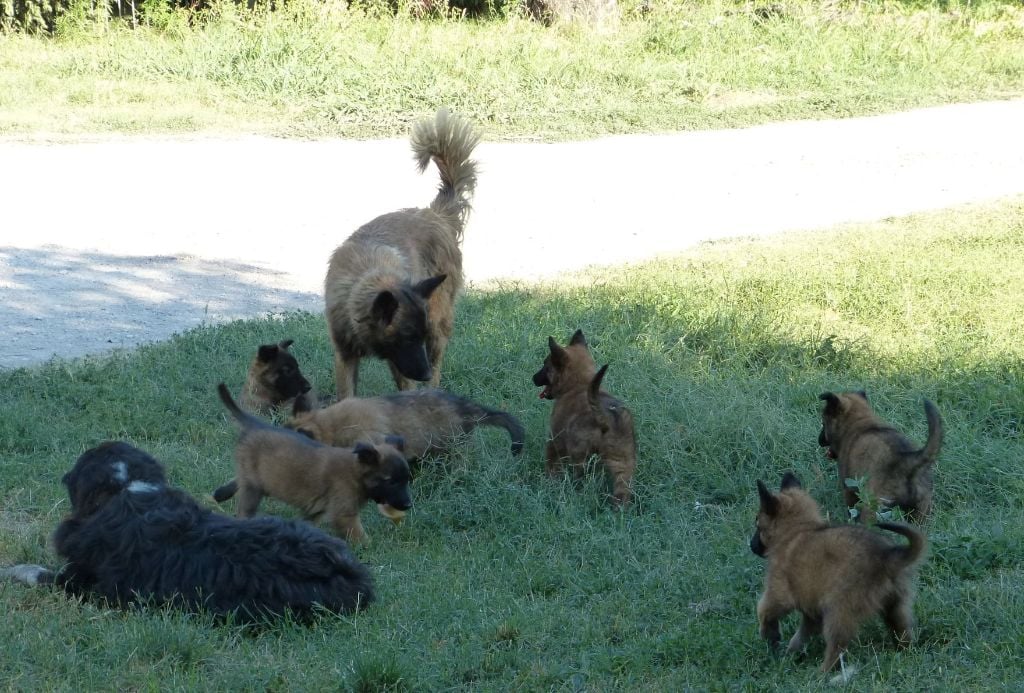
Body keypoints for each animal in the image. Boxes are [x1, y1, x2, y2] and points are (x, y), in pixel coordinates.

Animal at [215, 380, 411, 544]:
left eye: (406, 480)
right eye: (391, 482)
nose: (408, 505)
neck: (355, 472)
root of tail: (256, 425)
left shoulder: (315, 512)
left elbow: (303, 522)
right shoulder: (345, 515)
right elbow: (360, 538)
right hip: (253, 487)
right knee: (244, 509)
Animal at [323, 107, 479, 399]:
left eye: (417, 337)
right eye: (407, 338)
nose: (424, 373)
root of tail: (434, 214)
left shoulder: (405, 361)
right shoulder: (345, 355)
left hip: (438, 326)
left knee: (437, 369)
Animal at [532, 327, 634, 505]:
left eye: (546, 366)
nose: (533, 378)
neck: (580, 384)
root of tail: (604, 418)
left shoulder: (554, 439)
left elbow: (551, 462)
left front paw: (549, 481)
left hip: (579, 455)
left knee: (579, 477)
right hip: (624, 465)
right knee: (622, 492)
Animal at [753, 470, 929, 671]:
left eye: (757, 524)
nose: (751, 546)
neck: (797, 530)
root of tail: (886, 556)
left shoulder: (779, 593)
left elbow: (763, 609)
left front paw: (769, 635)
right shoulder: (812, 611)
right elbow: (801, 634)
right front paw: (792, 653)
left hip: (838, 612)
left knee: (837, 648)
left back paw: (822, 673)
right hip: (896, 606)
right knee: (903, 632)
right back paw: (904, 652)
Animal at [815, 388, 942, 520]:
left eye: (823, 423)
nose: (819, 440)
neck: (859, 419)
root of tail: (907, 460)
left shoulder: (849, 488)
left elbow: (851, 509)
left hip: (874, 506)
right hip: (920, 511)